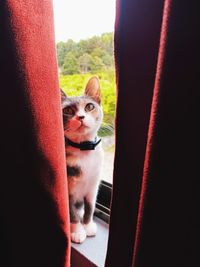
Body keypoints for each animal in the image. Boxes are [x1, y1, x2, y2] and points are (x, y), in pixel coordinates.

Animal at [61, 76, 103, 244]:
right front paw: (78, 231)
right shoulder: (68, 190)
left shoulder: (93, 186)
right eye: (67, 110)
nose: (81, 117)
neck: (84, 151)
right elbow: (71, 212)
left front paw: (88, 225)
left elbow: (90, 206)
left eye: (89, 106)